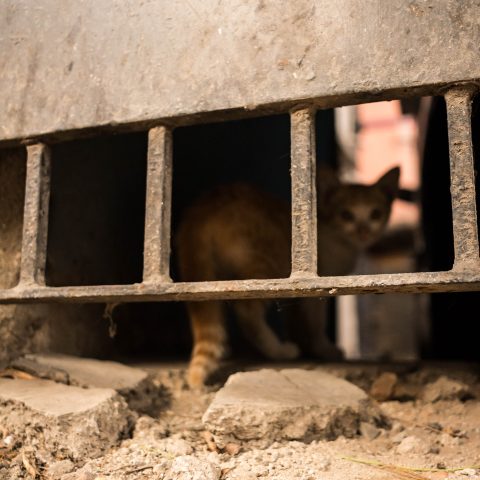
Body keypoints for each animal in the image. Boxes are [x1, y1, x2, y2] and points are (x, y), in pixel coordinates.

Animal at [174, 165, 400, 386]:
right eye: (346, 215)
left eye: (376, 214)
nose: (364, 231)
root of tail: (207, 205)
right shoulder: (317, 285)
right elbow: (315, 322)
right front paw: (323, 349)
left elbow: (296, 319)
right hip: (269, 262)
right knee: (247, 311)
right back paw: (278, 350)